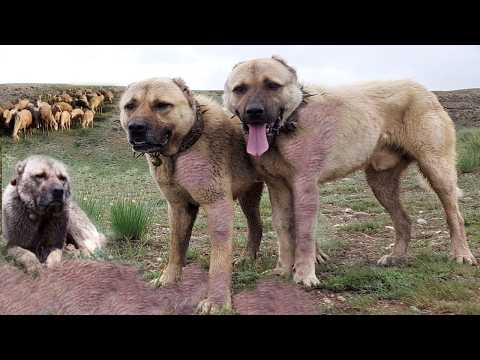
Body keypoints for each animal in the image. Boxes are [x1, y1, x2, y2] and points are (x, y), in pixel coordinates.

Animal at [118, 77, 264, 314]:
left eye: (162, 105)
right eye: (130, 106)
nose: (135, 128)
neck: (185, 145)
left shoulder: (218, 206)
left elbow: (218, 260)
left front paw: (217, 302)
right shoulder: (179, 207)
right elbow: (176, 247)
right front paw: (168, 280)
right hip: (248, 198)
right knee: (257, 225)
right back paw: (248, 258)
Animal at [224, 55, 476, 286]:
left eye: (272, 85)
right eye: (240, 89)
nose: (254, 112)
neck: (288, 124)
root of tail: (425, 90)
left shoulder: (305, 187)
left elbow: (304, 234)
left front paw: (305, 275)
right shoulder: (278, 188)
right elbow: (284, 230)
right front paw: (283, 270)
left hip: (437, 171)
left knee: (455, 216)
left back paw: (462, 254)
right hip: (381, 184)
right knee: (404, 220)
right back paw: (396, 256)